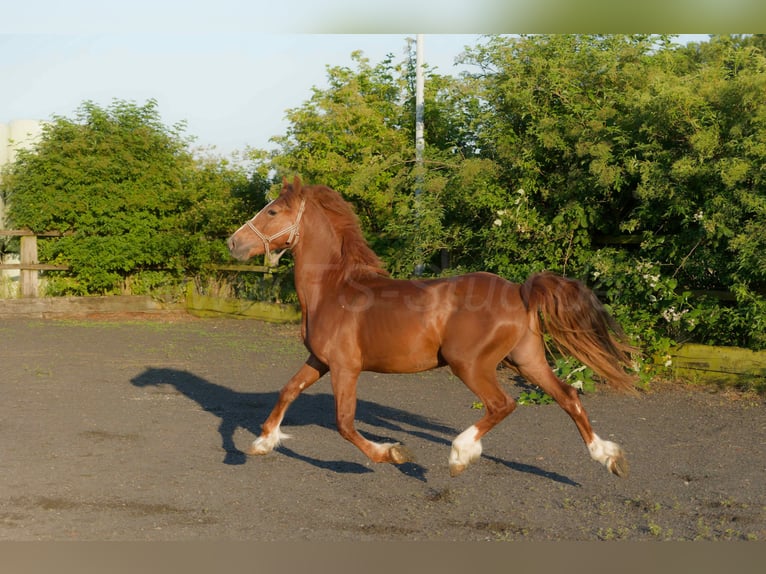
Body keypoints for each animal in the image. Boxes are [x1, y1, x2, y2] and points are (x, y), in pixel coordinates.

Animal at [228, 176, 639, 478]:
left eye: (272, 211)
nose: (234, 243)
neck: (333, 289)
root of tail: (519, 291)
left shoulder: (345, 367)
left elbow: (344, 423)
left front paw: (394, 452)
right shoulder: (320, 360)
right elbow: (288, 391)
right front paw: (261, 443)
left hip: (469, 363)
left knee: (502, 404)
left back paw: (460, 454)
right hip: (527, 359)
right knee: (568, 396)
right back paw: (609, 457)